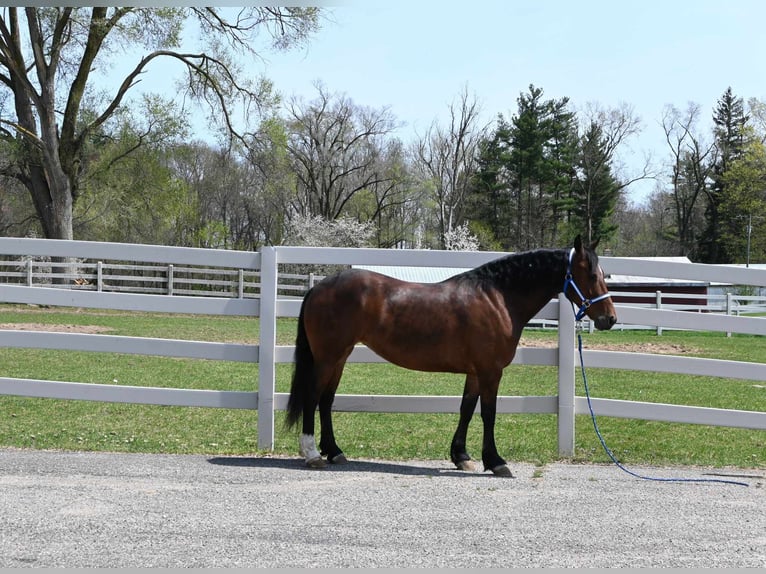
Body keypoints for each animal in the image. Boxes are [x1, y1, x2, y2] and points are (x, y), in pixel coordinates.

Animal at [286, 235, 616, 476]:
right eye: (590, 274)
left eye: (603, 274)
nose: (609, 319)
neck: (498, 298)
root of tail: (319, 287)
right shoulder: (490, 371)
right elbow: (488, 413)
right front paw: (496, 461)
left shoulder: (475, 371)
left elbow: (466, 409)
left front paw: (462, 456)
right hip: (328, 357)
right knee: (313, 397)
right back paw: (312, 453)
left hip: (340, 356)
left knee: (326, 400)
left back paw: (334, 451)